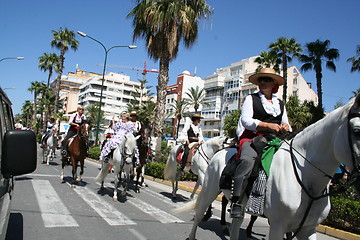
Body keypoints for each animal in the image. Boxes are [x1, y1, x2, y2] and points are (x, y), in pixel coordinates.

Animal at [179, 94, 360, 240]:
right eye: (357, 130)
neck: (307, 180)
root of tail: (220, 153)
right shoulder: (278, 226)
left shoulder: (308, 229)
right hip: (209, 189)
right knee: (199, 213)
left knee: (235, 224)